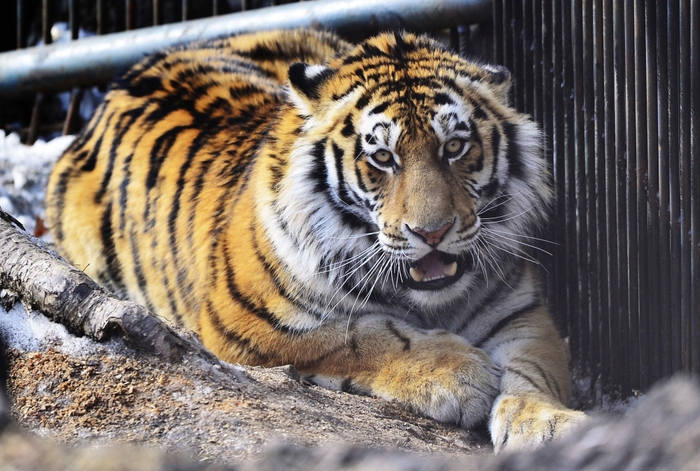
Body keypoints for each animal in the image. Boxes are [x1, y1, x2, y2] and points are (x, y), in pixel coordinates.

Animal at [46, 28, 585, 452]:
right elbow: (365, 335)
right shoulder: (246, 325)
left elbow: (534, 371)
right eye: (382, 157)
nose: (432, 232)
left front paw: (549, 424)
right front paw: (460, 374)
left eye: (455, 147)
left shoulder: (520, 312)